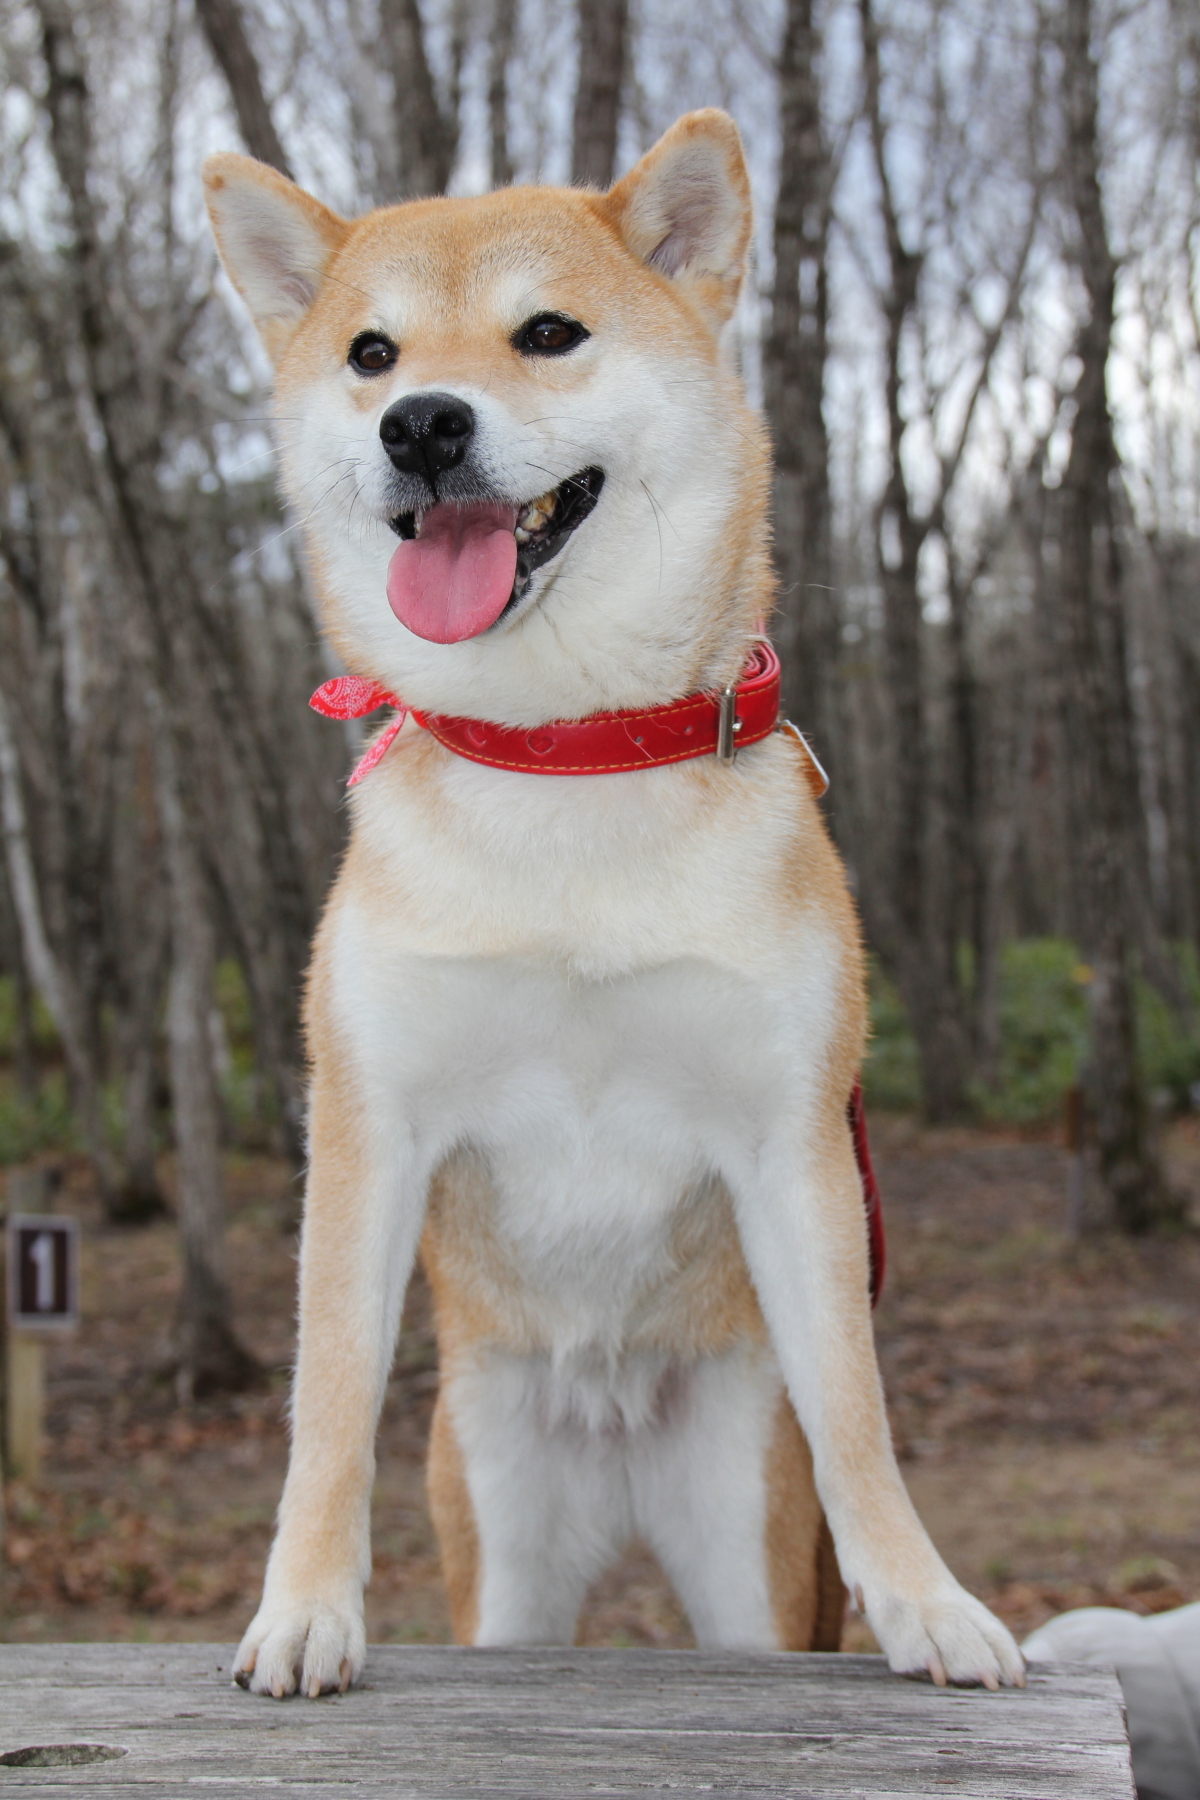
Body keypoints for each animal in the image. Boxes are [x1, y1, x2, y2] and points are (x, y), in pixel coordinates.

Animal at [204, 112, 1021, 1699]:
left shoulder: (794, 1143)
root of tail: (613, 1424)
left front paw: (926, 1599)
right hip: (504, 1536)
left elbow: (861, 1411)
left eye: (548, 333)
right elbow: (326, 1403)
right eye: (372, 354)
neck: (564, 755)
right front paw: (305, 1608)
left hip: (745, 1533)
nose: (424, 426)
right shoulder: (367, 1126)